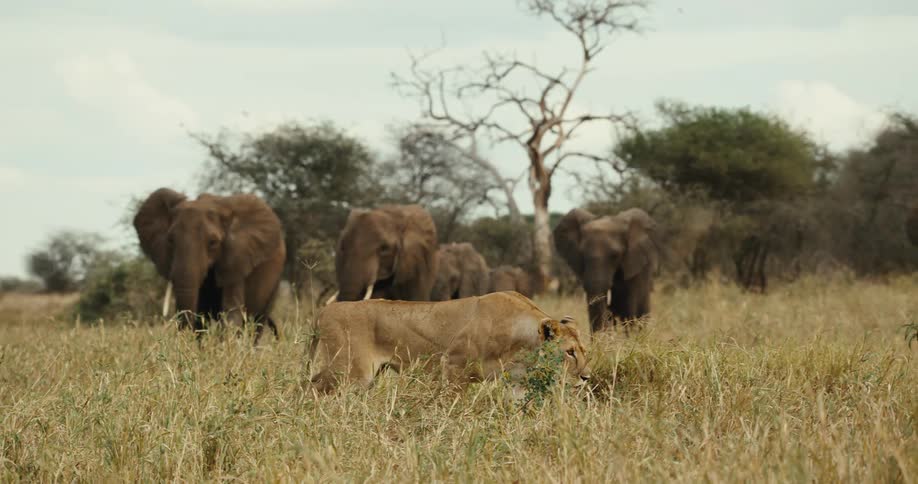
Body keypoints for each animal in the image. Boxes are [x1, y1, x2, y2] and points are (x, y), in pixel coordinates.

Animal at [133, 188, 286, 340]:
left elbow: (231, 313)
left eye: (213, 242)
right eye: (170, 240)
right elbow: (200, 316)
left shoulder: (237, 256)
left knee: (257, 322)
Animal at [307, 291, 590, 392]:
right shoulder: (453, 364)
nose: (586, 378)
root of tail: (324, 310)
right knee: (312, 388)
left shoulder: (516, 382)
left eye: (583, 352)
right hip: (350, 372)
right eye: (569, 352)